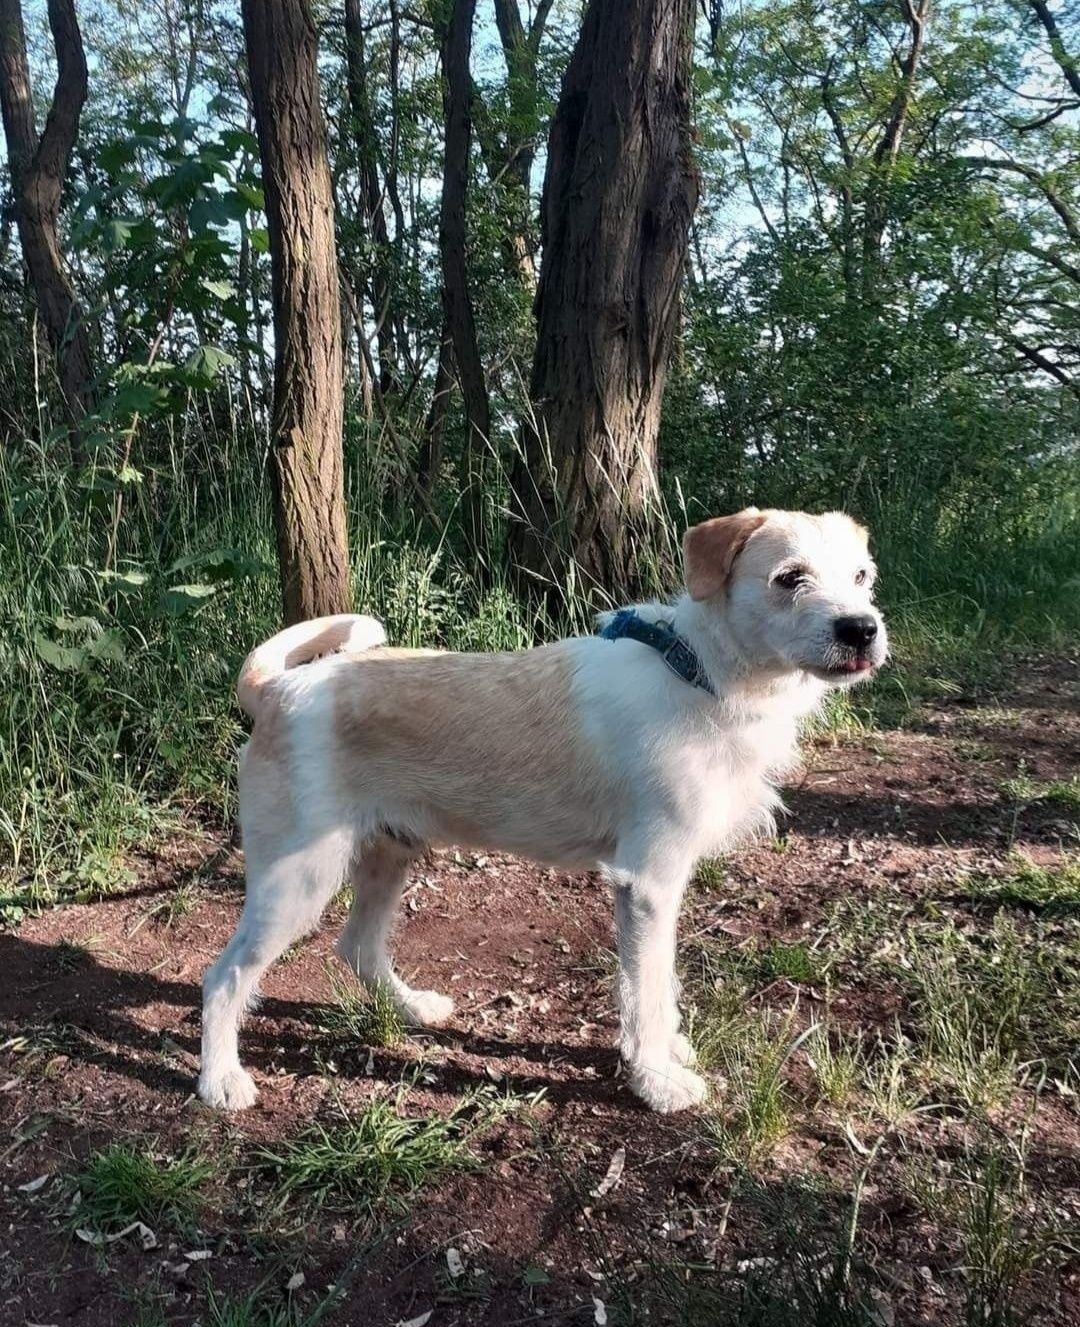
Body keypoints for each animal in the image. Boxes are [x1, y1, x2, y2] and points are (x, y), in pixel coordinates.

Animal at [196, 512, 886, 1114]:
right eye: (789, 577)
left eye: (861, 576)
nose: (862, 629)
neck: (701, 672)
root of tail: (275, 690)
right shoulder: (647, 885)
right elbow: (644, 991)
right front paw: (656, 1079)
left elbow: (661, 985)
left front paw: (668, 1050)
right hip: (296, 880)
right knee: (223, 978)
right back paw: (220, 1080)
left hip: (387, 855)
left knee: (358, 948)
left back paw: (412, 1008)